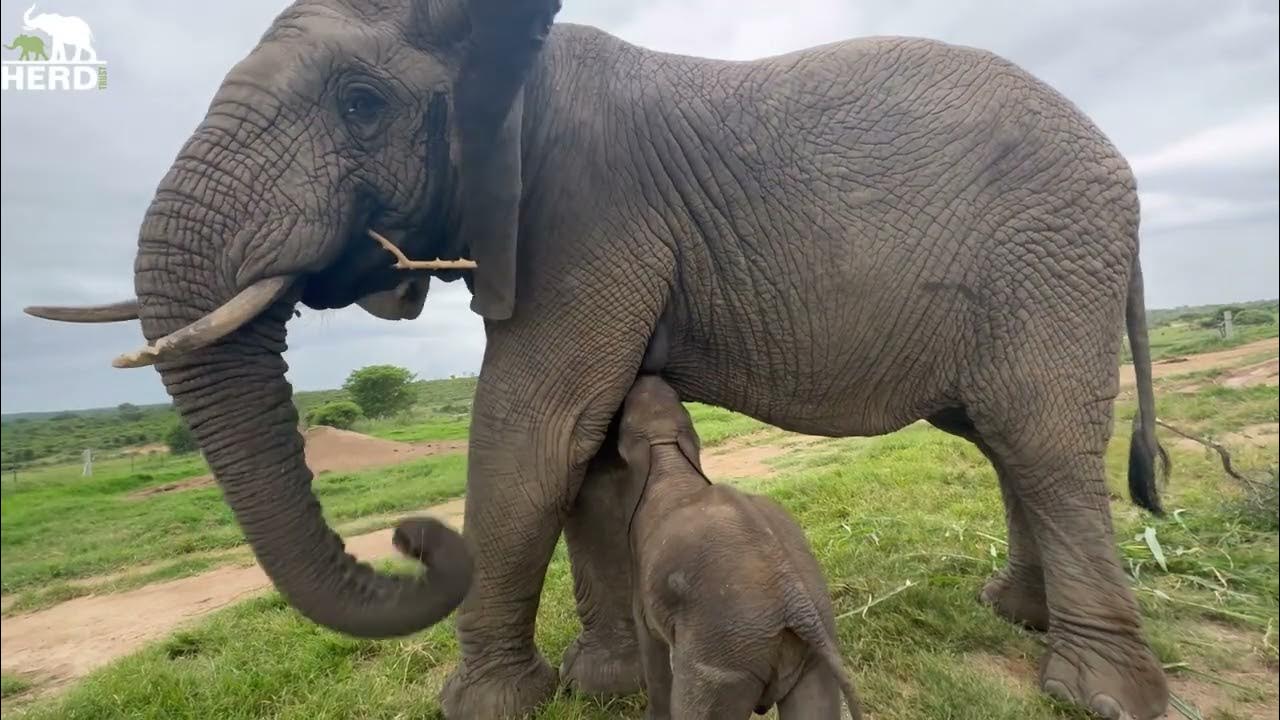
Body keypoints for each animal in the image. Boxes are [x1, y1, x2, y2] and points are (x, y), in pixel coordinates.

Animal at [616, 371, 860, 712]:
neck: (664, 447)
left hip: (722, 657)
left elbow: (651, 647)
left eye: (623, 413)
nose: (646, 374)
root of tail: (794, 599)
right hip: (813, 644)